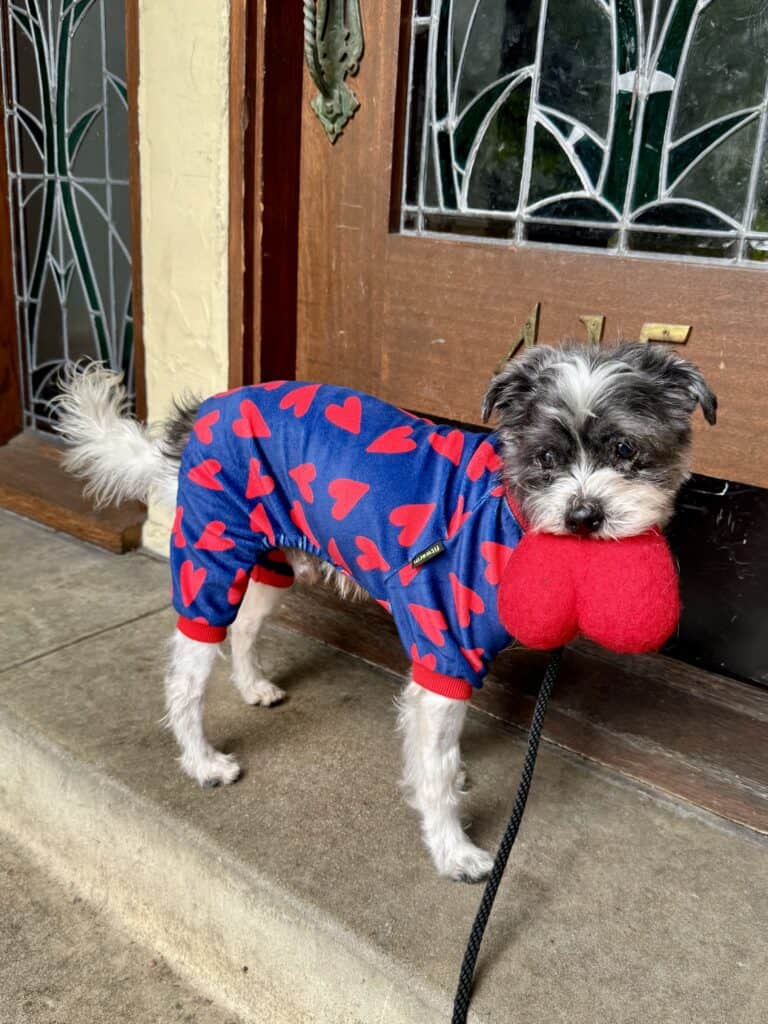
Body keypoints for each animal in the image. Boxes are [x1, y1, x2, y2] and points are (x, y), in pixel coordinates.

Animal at [57, 344, 720, 880]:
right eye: (548, 458)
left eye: (625, 448)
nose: (584, 516)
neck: (505, 516)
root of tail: (204, 414)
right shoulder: (444, 654)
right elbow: (434, 766)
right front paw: (452, 850)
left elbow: (441, 753)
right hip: (209, 558)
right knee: (186, 676)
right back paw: (201, 761)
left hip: (274, 560)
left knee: (244, 628)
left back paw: (252, 687)